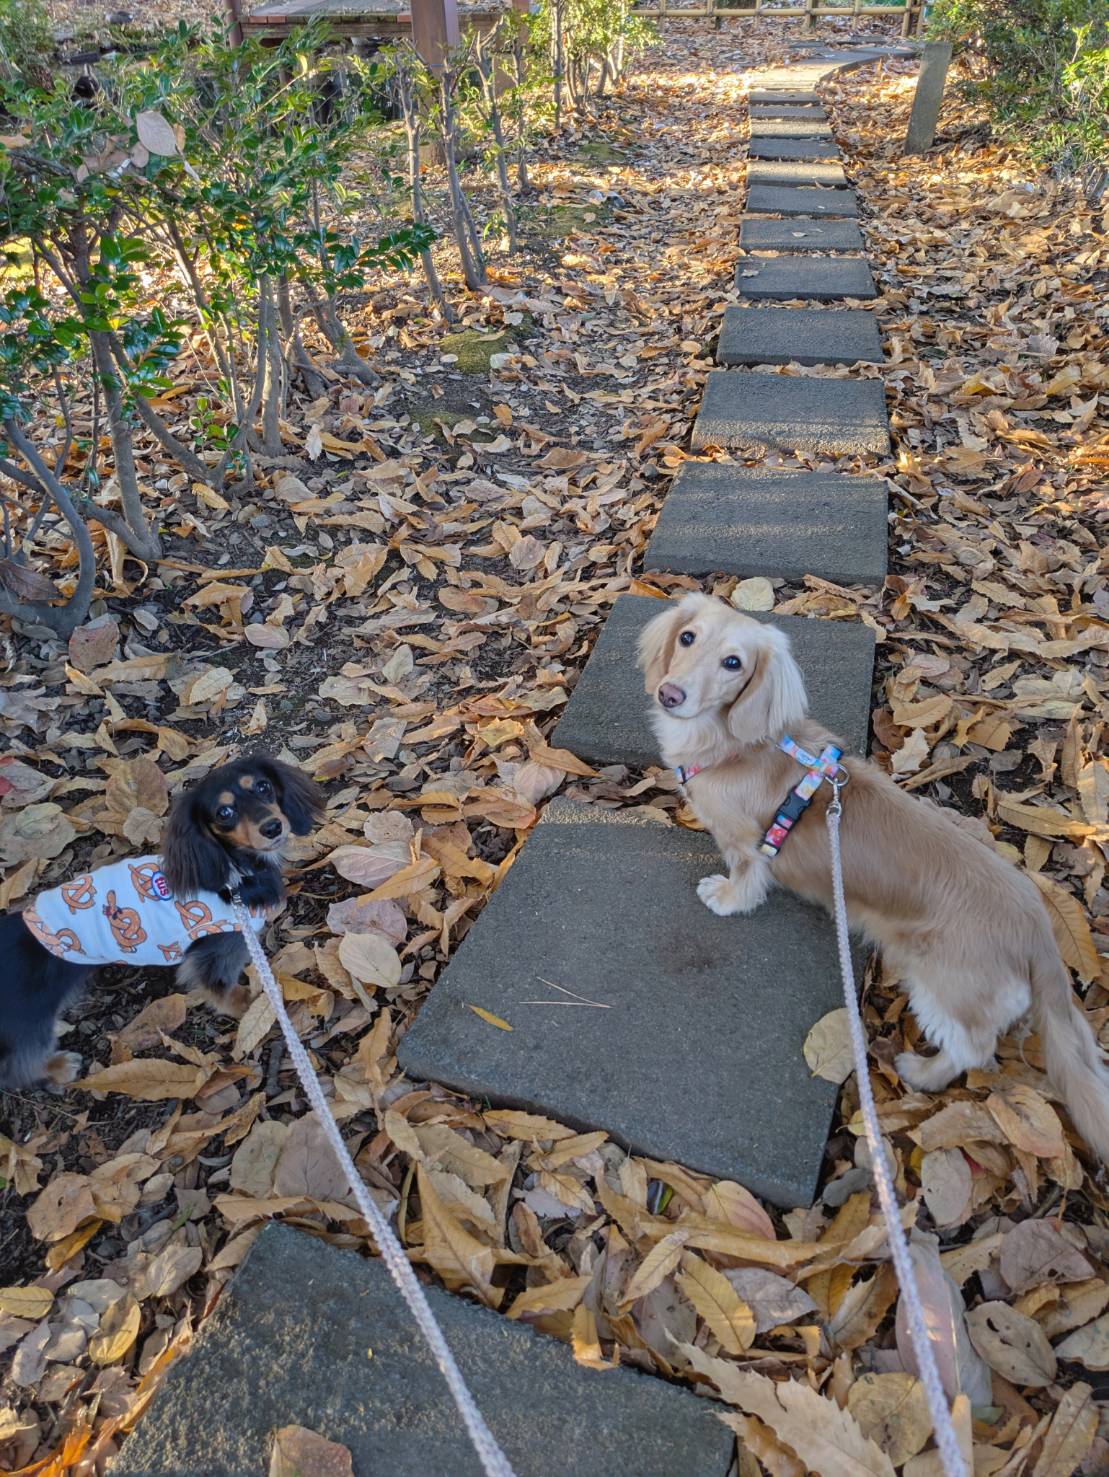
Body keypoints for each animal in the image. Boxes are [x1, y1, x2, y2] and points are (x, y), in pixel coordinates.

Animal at [0, 753, 323, 1091]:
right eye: (224, 812)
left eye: (263, 786)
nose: (272, 827)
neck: (233, 873)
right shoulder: (215, 951)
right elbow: (223, 988)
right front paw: (249, 1006)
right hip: (29, 1019)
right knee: (16, 1065)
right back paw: (58, 1067)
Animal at [639, 592, 1109, 1161]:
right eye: (687, 637)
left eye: (734, 663)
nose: (670, 693)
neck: (734, 743)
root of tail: (1037, 929)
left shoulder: (747, 843)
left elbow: (747, 875)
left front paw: (727, 896)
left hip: (945, 990)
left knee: (973, 1048)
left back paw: (924, 1071)